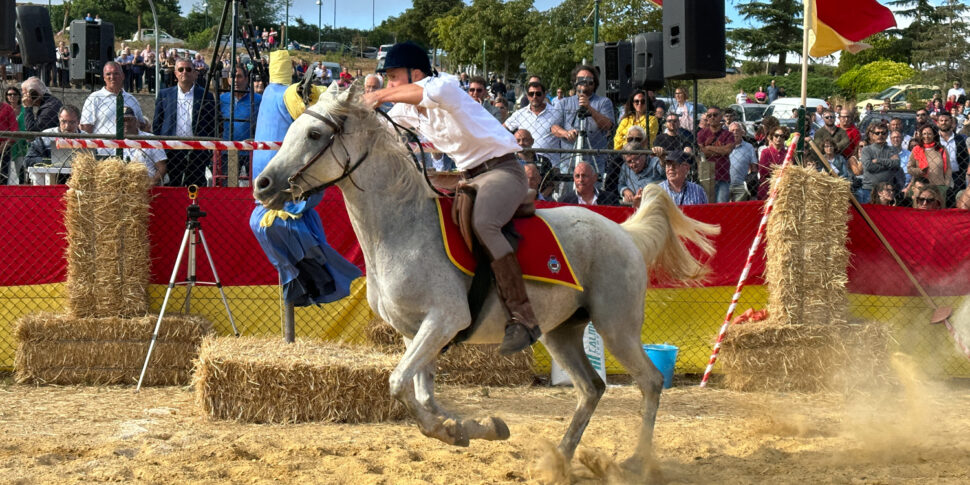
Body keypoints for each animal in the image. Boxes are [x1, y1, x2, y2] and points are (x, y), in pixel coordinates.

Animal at [253, 85, 716, 474]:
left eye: (314, 134)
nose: (263, 184)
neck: (402, 228)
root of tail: (624, 233)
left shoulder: (444, 320)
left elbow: (399, 383)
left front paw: (462, 428)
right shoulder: (414, 333)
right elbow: (421, 395)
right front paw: (471, 428)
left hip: (617, 327)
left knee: (649, 382)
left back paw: (637, 460)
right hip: (560, 332)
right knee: (591, 388)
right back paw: (560, 457)